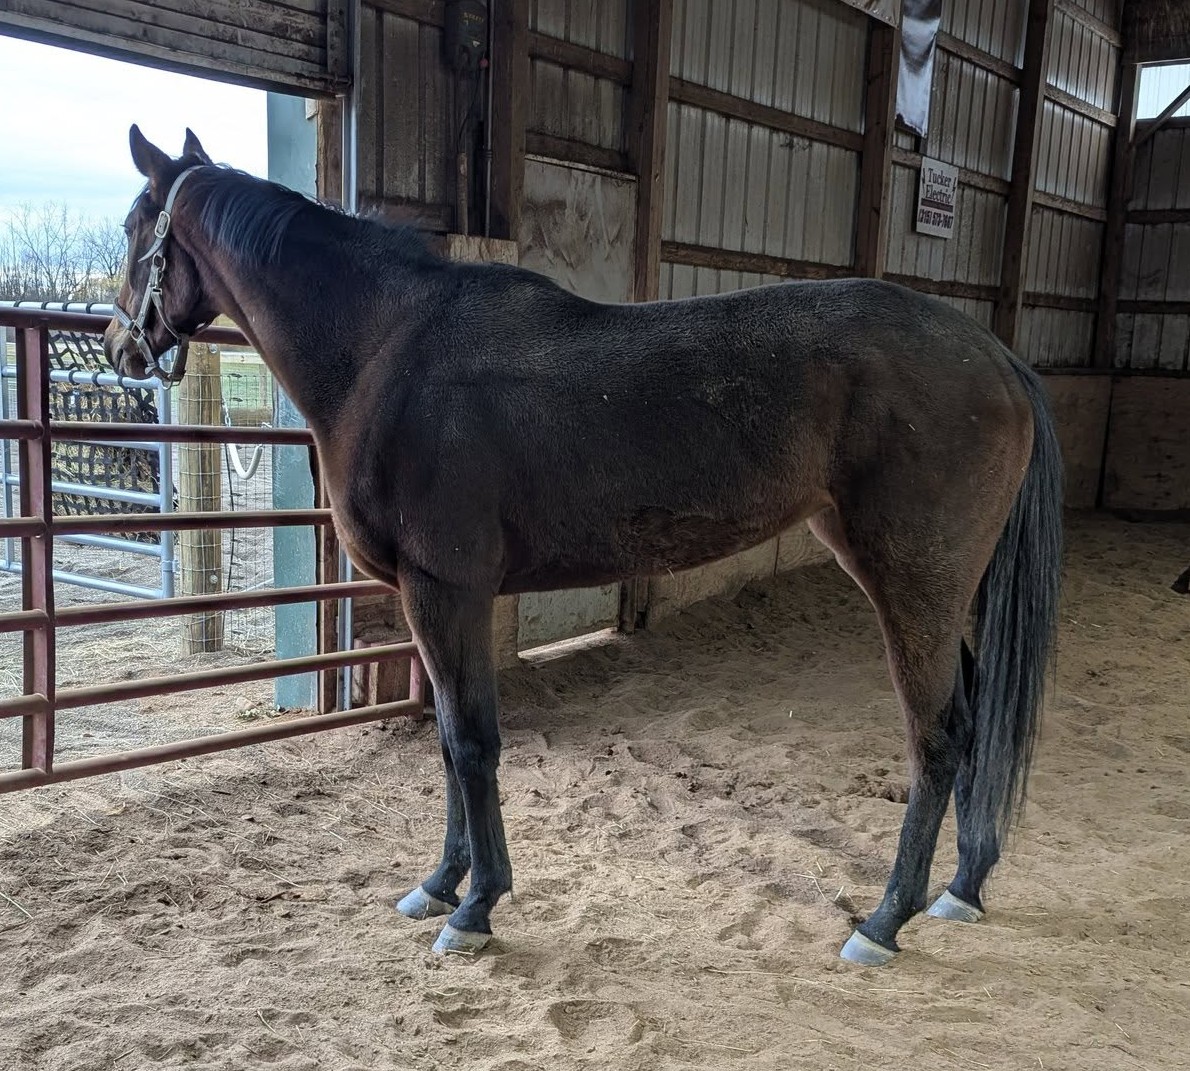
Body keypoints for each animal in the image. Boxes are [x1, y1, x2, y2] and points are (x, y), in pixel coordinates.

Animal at [104, 126, 1064, 966]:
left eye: (131, 226)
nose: (119, 345)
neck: (387, 348)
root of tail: (999, 359)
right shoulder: (434, 598)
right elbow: (449, 740)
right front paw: (441, 883)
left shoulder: (445, 589)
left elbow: (471, 742)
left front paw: (476, 906)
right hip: (940, 588)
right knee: (977, 717)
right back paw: (963, 887)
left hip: (913, 583)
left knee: (939, 737)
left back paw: (884, 920)